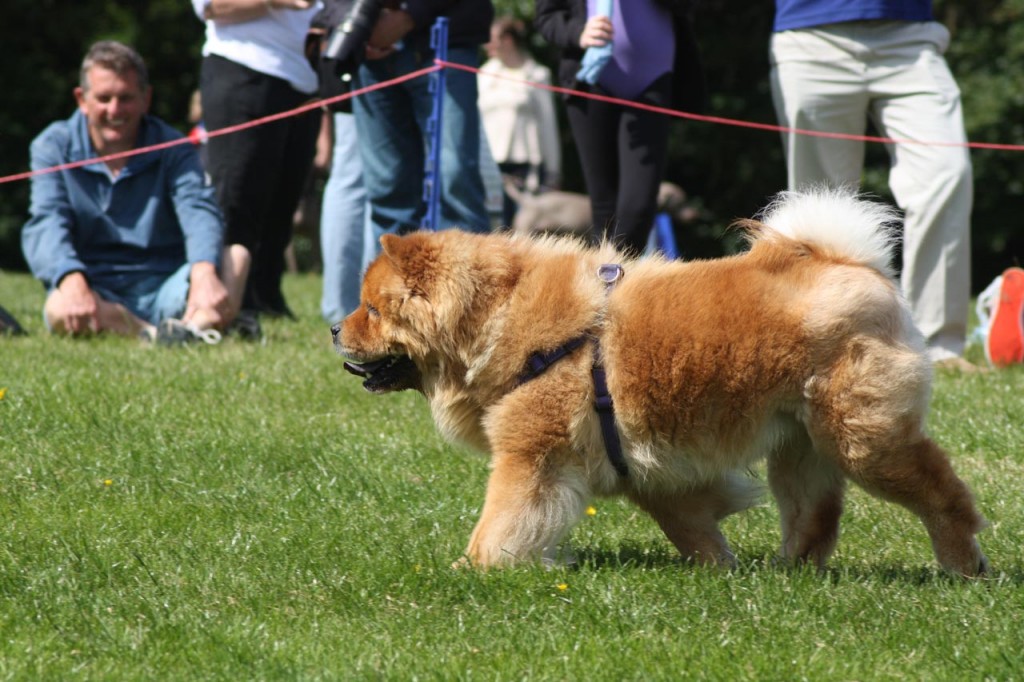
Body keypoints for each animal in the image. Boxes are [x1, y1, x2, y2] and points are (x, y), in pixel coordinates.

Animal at [333, 186, 983, 573]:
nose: (335, 329)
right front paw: (720, 569)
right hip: (802, 445)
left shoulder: (530, 454)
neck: (497, 319)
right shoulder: (650, 470)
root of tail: (854, 264)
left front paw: (473, 570)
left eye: (371, 310)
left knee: (941, 493)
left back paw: (961, 565)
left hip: (862, 439)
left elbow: (500, 522)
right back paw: (791, 573)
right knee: (814, 513)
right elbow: (691, 525)